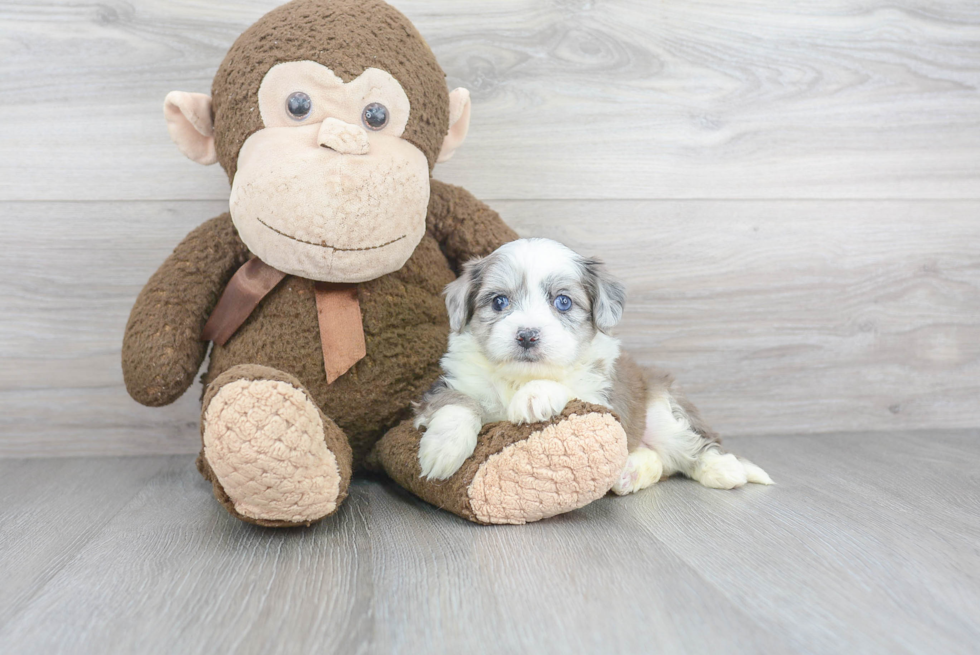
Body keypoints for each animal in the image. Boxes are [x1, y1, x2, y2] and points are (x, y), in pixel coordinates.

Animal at [416, 238, 772, 494]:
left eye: (563, 301)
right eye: (498, 301)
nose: (527, 335)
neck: (518, 378)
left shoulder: (601, 400)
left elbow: (567, 386)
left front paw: (534, 396)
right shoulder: (448, 385)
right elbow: (458, 403)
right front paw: (443, 448)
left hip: (664, 417)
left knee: (695, 446)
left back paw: (724, 469)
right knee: (659, 461)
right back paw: (628, 474)